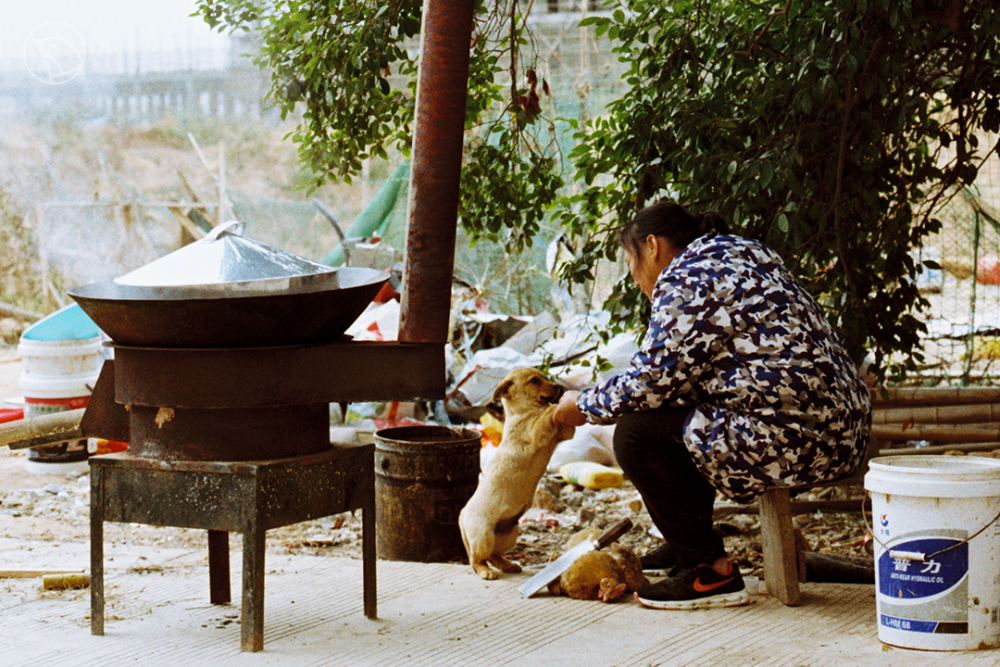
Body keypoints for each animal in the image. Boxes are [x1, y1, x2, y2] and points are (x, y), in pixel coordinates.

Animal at [458, 368, 576, 580]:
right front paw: (556, 404)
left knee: (493, 555)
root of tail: (462, 515)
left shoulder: (564, 432)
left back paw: (508, 565)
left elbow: (558, 418)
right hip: (483, 536)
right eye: (534, 381)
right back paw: (486, 571)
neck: (525, 410)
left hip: (509, 534)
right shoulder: (537, 433)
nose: (559, 387)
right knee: (477, 559)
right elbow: (549, 411)